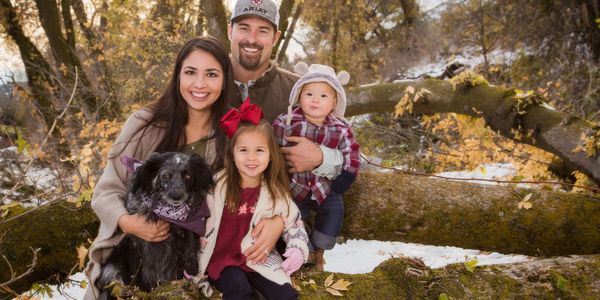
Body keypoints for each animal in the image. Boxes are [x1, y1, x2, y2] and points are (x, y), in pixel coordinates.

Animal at [95, 152, 214, 296]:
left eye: (188, 175)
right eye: (165, 176)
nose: (176, 196)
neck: (170, 215)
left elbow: (190, 245)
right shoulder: (145, 244)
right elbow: (150, 268)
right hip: (113, 267)